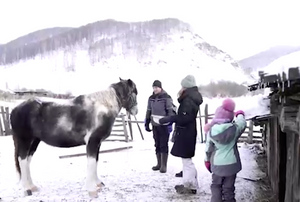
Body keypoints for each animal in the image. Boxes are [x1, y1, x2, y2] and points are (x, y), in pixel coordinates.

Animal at [9, 77, 139, 197]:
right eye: (134, 92)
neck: (103, 107)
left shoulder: (98, 143)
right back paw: (27, 189)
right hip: (25, 140)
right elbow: (91, 163)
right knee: (22, 160)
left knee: (27, 161)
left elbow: (96, 161)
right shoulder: (93, 141)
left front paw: (98, 184)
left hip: (34, 141)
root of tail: (15, 109)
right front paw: (92, 190)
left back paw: (32, 186)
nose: (136, 111)